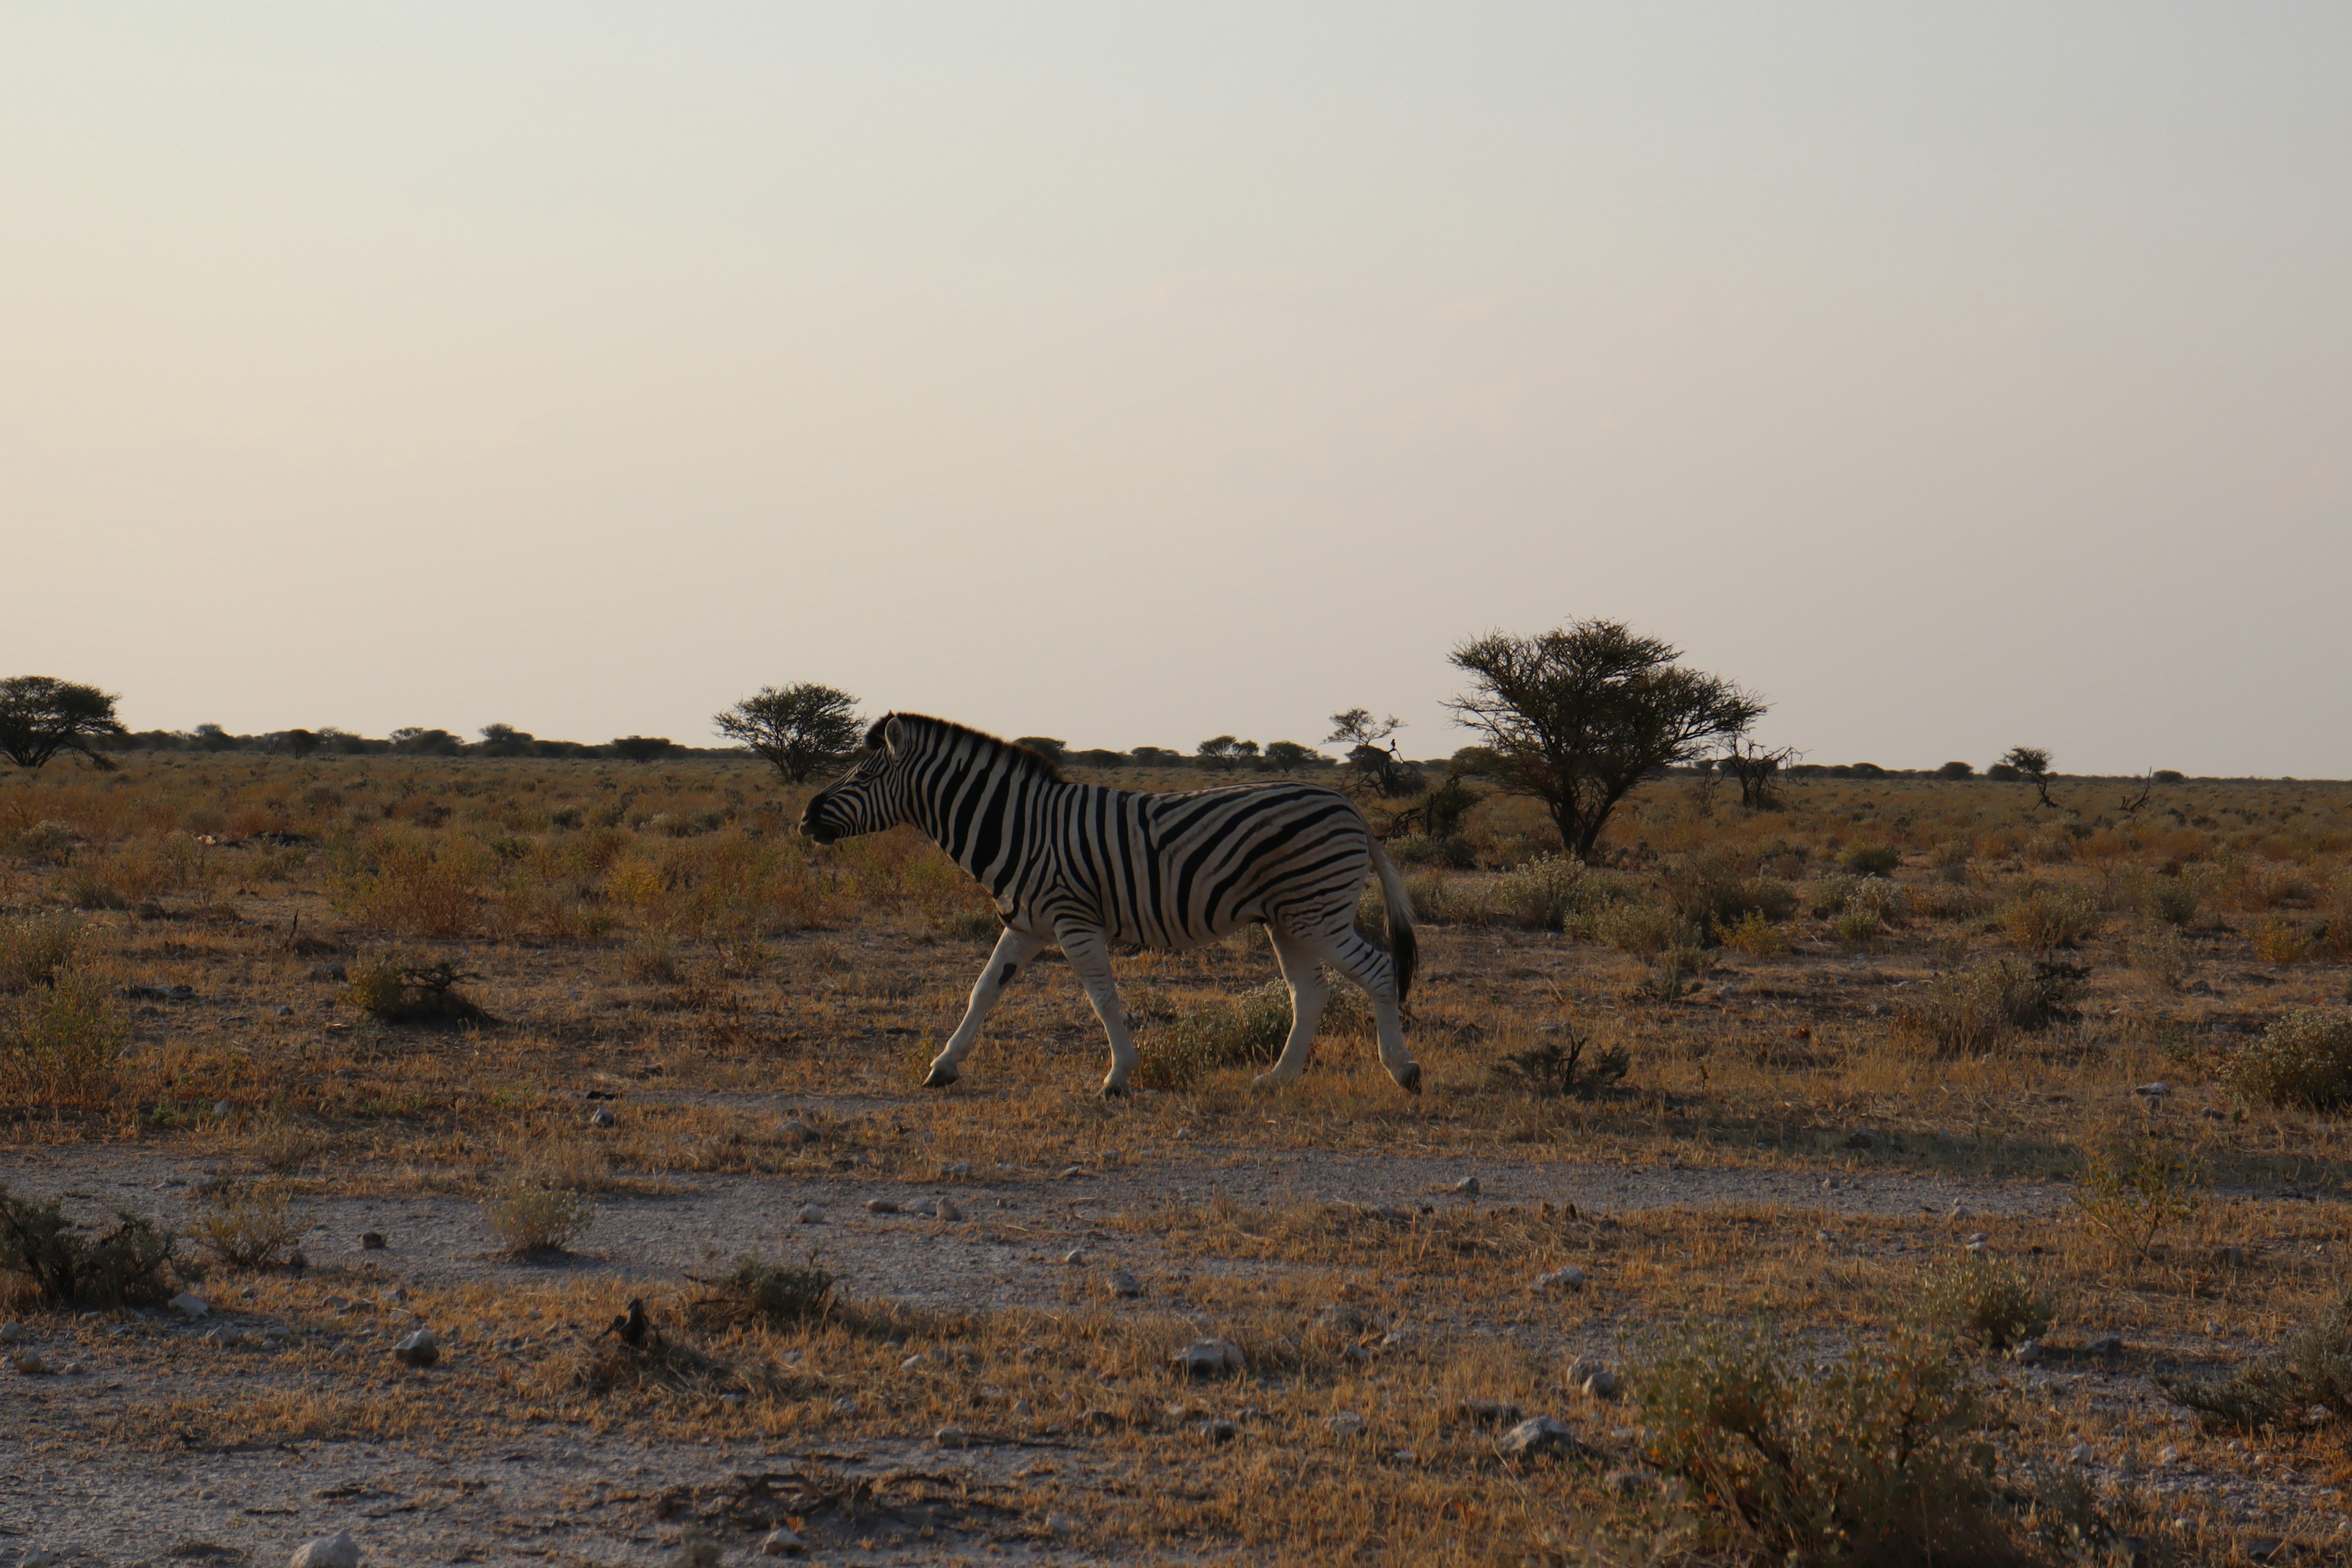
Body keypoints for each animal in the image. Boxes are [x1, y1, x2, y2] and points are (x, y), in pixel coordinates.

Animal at [794, 719, 1411, 1100]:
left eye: (864, 774)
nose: (805, 818)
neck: (1021, 827)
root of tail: (1349, 805)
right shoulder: (1025, 923)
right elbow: (984, 990)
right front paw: (943, 1066)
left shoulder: (1074, 919)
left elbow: (1102, 998)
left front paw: (1118, 1078)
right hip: (1289, 919)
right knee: (1310, 993)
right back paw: (1278, 1080)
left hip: (1316, 912)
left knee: (1381, 972)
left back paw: (1404, 1071)